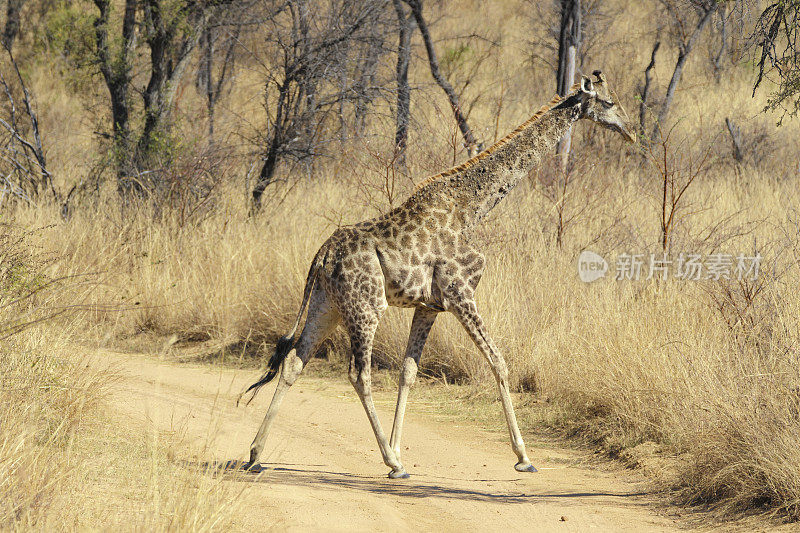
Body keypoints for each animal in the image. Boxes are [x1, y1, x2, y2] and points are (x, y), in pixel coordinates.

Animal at [241, 69, 636, 478]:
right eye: (609, 102)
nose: (631, 130)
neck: (473, 208)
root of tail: (321, 255)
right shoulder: (461, 292)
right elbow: (498, 360)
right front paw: (523, 456)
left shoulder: (429, 306)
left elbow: (408, 371)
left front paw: (402, 446)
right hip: (366, 307)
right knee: (358, 373)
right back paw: (391, 461)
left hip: (328, 305)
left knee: (293, 363)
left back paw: (256, 454)